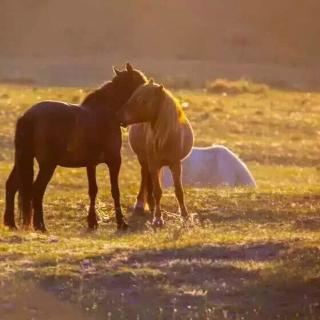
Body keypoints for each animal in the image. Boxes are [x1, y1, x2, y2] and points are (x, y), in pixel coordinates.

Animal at [3, 62, 148, 231]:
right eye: (141, 86)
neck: (106, 112)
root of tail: (28, 116)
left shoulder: (91, 164)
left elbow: (93, 190)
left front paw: (92, 222)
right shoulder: (114, 161)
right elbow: (115, 191)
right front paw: (121, 223)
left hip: (23, 159)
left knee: (11, 185)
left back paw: (11, 223)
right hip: (47, 165)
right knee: (37, 190)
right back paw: (40, 226)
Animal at [117, 81, 192, 226]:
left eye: (143, 101)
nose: (119, 116)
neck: (166, 138)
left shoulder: (176, 164)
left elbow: (179, 190)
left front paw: (185, 216)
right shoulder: (153, 163)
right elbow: (157, 191)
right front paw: (158, 218)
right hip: (144, 161)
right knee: (145, 177)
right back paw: (141, 204)